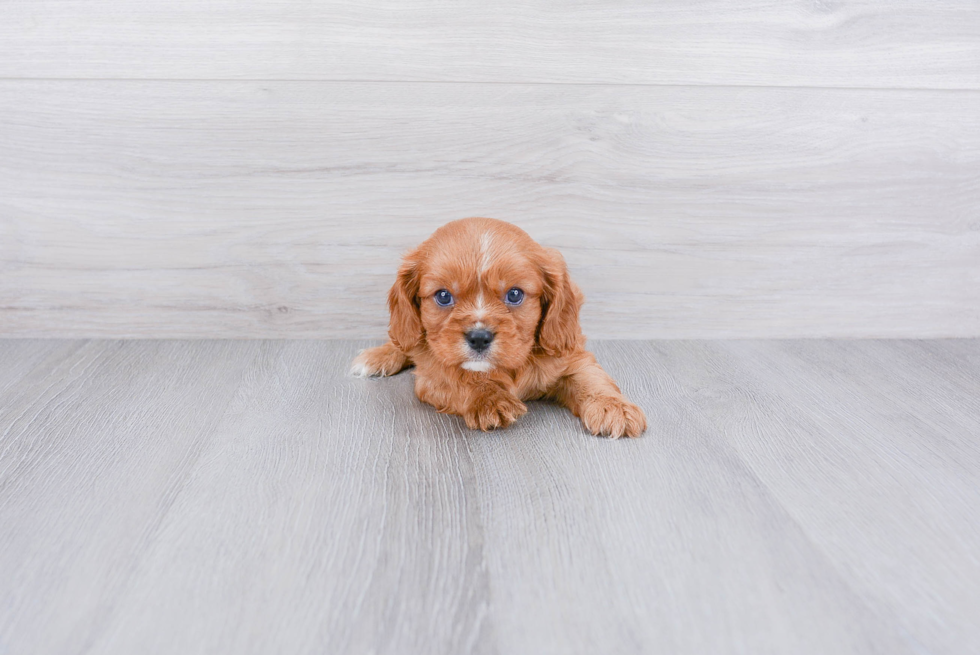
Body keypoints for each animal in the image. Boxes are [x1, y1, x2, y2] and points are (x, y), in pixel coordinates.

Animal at [348, 218, 648, 438]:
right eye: (443, 296)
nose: (479, 338)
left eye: (514, 294)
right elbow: (461, 378)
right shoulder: (433, 375)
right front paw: (489, 398)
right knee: (403, 343)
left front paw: (613, 407)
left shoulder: (571, 356)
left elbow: (592, 378)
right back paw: (377, 357)